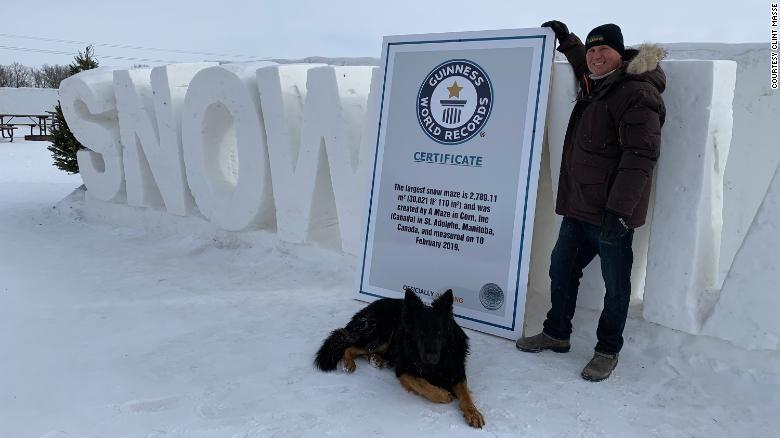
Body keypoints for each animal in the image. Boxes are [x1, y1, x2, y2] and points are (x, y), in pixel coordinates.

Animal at [314, 288, 484, 428]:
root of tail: (368, 308)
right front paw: (443, 394)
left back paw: (376, 360)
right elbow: (423, 384)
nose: (431, 358)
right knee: (351, 347)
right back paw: (349, 363)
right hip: (383, 334)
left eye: (439, 332)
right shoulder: (404, 370)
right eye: (420, 332)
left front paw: (473, 412)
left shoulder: (457, 372)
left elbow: (465, 394)